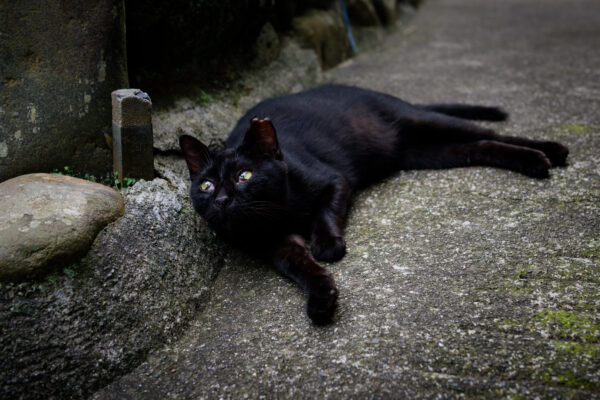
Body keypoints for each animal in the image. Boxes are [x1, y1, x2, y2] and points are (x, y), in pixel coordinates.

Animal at [178, 84, 568, 324]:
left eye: (244, 175)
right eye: (207, 185)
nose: (222, 199)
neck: (277, 215)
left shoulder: (335, 180)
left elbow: (325, 213)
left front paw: (328, 244)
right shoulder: (277, 246)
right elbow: (302, 268)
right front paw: (321, 297)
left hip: (425, 122)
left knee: (490, 133)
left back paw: (548, 152)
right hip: (429, 154)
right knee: (481, 147)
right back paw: (533, 160)